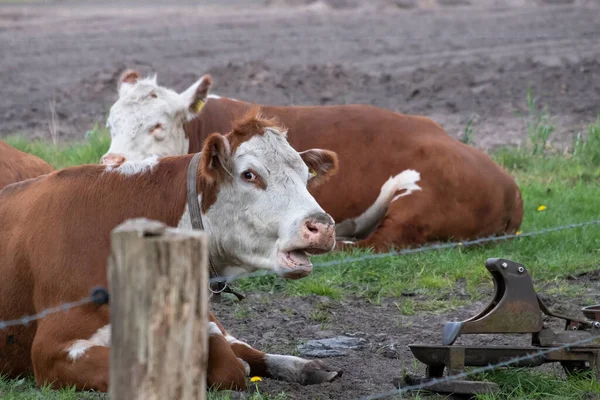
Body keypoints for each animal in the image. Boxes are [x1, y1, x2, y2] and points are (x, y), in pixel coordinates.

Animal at [101, 69, 524, 250]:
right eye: (110, 122)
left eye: (157, 126)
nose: (111, 162)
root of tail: (511, 187)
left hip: (419, 199)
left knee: (379, 243)